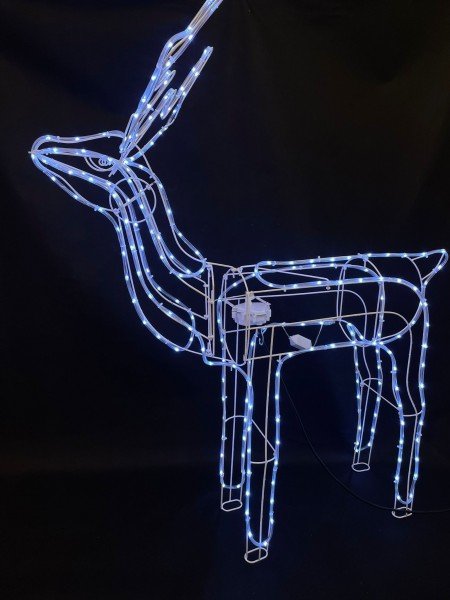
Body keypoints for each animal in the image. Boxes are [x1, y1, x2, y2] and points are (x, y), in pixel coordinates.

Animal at [30, 0, 447, 563]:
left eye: (98, 155)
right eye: (94, 139)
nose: (42, 145)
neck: (200, 289)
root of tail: (427, 262)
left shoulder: (265, 355)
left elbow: (263, 450)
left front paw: (256, 550)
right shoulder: (233, 367)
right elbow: (230, 430)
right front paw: (229, 504)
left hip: (408, 339)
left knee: (414, 406)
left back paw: (402, 504)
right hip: (366, 338)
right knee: (367, 383)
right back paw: (359, 463)